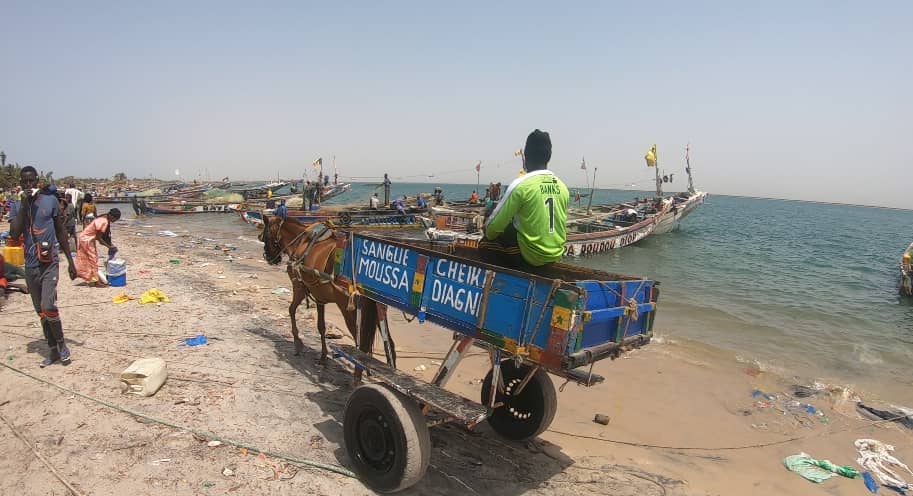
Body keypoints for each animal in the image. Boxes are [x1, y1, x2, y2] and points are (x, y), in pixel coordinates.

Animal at [256, 214, 392, 376]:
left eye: (265, 236)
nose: (269, 258)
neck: (300, 242)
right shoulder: (319, 297)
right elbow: (321, 326)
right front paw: (323, 355)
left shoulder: (298, 287)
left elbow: (291, 310)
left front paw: (297, 343)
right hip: (378, 310)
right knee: (388, 344)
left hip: (347, 308)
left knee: (358, 339)